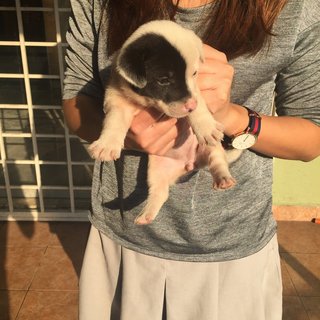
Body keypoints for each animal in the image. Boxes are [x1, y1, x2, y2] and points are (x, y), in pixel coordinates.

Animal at [89, 20, 241, 225]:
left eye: (194, 73)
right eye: (163, 80)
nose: (190, 105)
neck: (147, 102)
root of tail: (191, 163)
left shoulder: (195, 90)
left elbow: (200, 107)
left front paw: (205, 126)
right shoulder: (117, 99)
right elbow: (114, 122)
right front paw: (106, 145)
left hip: (212, 149)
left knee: (218, 161)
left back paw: (223, 178)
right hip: (156, 169)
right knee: (161, 192)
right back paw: (145, 215)